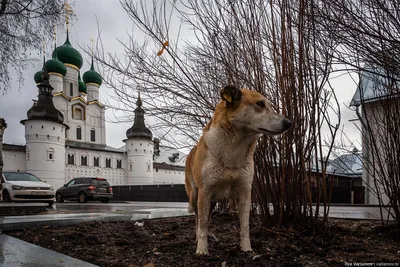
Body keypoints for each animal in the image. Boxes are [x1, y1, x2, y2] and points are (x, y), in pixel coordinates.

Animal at [184, 85, 290, 255]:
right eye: (260, 104)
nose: (288, 123)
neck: (233, 149)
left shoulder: (245, 193)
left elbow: (245, 226)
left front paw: (246, 248)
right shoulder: (205, 191)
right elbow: (202, 224)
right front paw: (202, 250)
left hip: (211, 201)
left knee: (207, 218)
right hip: (195, 195)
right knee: (198, 219)